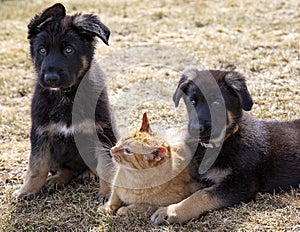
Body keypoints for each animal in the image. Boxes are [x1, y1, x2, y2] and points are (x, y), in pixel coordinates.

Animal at [14, 3, 117, 199]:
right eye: (42, 50)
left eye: (69, 50)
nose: (51, 78)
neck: (65, 96)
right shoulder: (41, 132)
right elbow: (37, 167)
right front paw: (27, 190)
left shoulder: (102, 131)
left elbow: (106, 166)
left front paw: (107, 193)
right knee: (64, 169)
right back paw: (56, 180)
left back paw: (88, 174)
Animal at [151, 68, 300, 224]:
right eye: (192, 101)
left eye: (217, 103)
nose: (196, 128)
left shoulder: (241, 184)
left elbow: (202, 195)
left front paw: (170, 211)